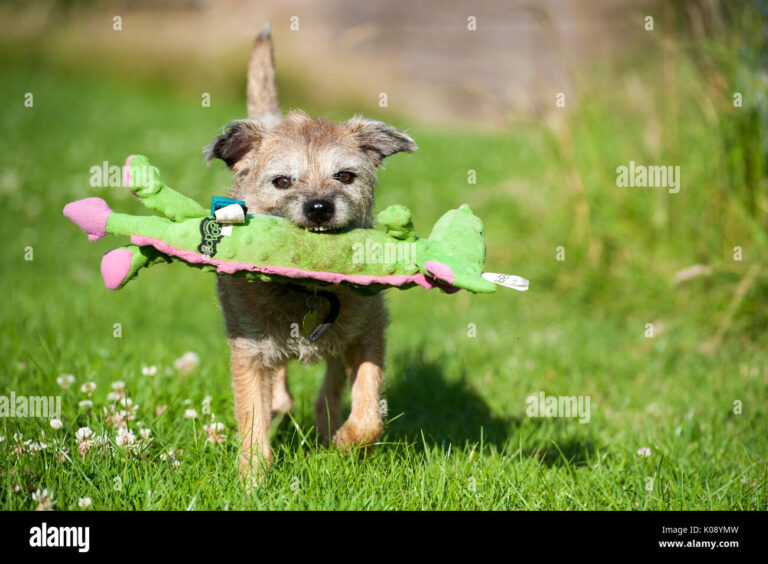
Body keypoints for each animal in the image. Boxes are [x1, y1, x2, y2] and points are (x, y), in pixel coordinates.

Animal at [206, 26, 414, 482]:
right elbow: (252, 413)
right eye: (282, 181)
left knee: (331, 388)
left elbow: (368, 406)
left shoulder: (369, 333)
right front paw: (252, 480)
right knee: (281, 392)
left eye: (345, 176)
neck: (306, 285)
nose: (320, 206)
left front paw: (346, 442)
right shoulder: (249, 351)